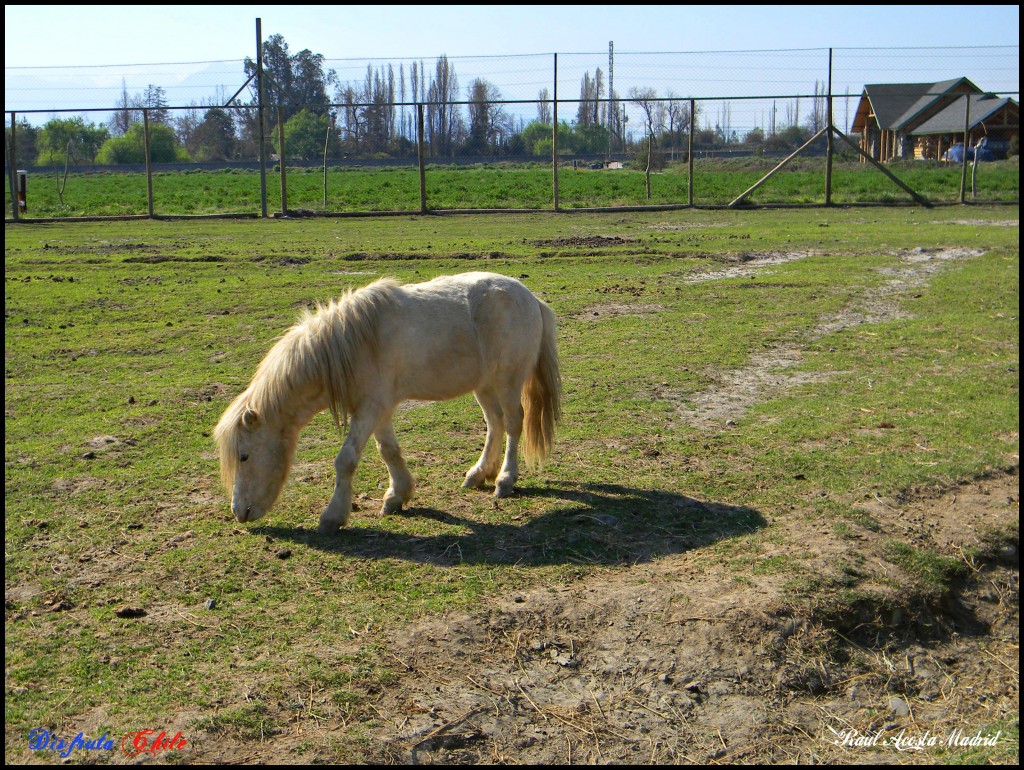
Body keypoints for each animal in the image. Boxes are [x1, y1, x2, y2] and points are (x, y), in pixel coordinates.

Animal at [209, 272, 561, 536]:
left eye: (244, 456)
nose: (239, 512)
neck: (352, 345)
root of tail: (531, 299)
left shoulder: (370, 410)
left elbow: (346, 460)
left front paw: (333, 516)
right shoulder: (377, 410)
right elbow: (388, 451)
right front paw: (397, 496)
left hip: (507, 381)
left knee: (513, 423)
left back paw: (504, 479)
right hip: (484, 385)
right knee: (495, 423)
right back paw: (478, 474)